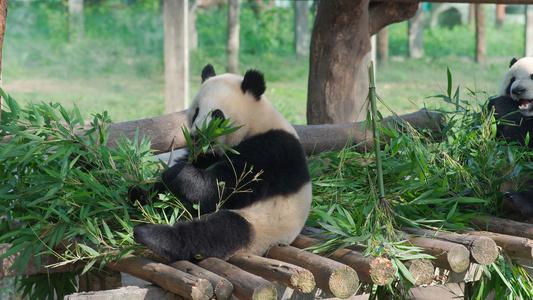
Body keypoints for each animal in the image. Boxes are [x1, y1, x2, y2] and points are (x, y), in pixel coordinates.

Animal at [129, 64, 312, 262]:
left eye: (217, 115)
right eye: (196, 112)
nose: (196, 136)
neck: (255, 123)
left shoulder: (271, 151)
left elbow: (226, 186)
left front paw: (176, 173)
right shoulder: (207, 154)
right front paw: (143, 190)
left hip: (262, 225)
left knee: (217, 232)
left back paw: (151, 235)